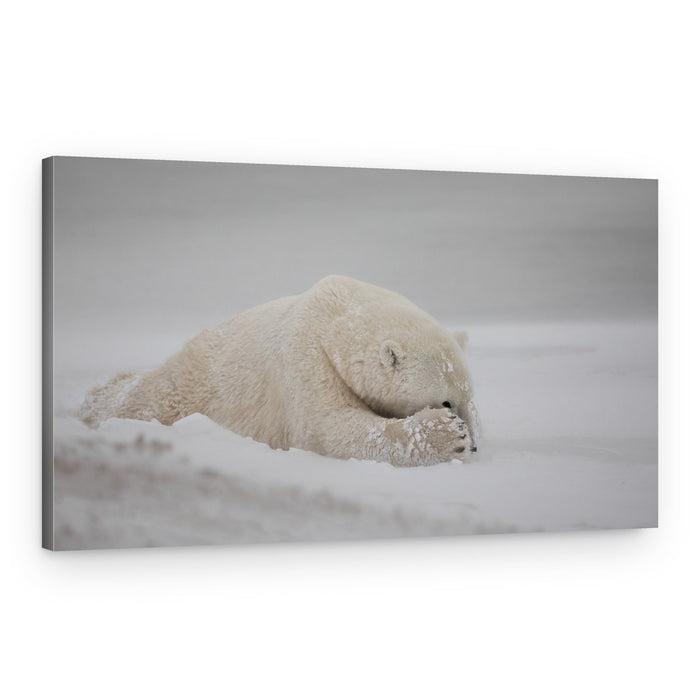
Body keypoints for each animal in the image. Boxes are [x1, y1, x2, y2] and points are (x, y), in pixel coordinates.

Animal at [79, 275, 480, 467]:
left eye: (469, 398)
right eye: (446, 402)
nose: (475, 446)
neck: (336, 315)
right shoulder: (306, 360)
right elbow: (331, 430)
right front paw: (448, 438)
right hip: (197, 380)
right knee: (152, 396)